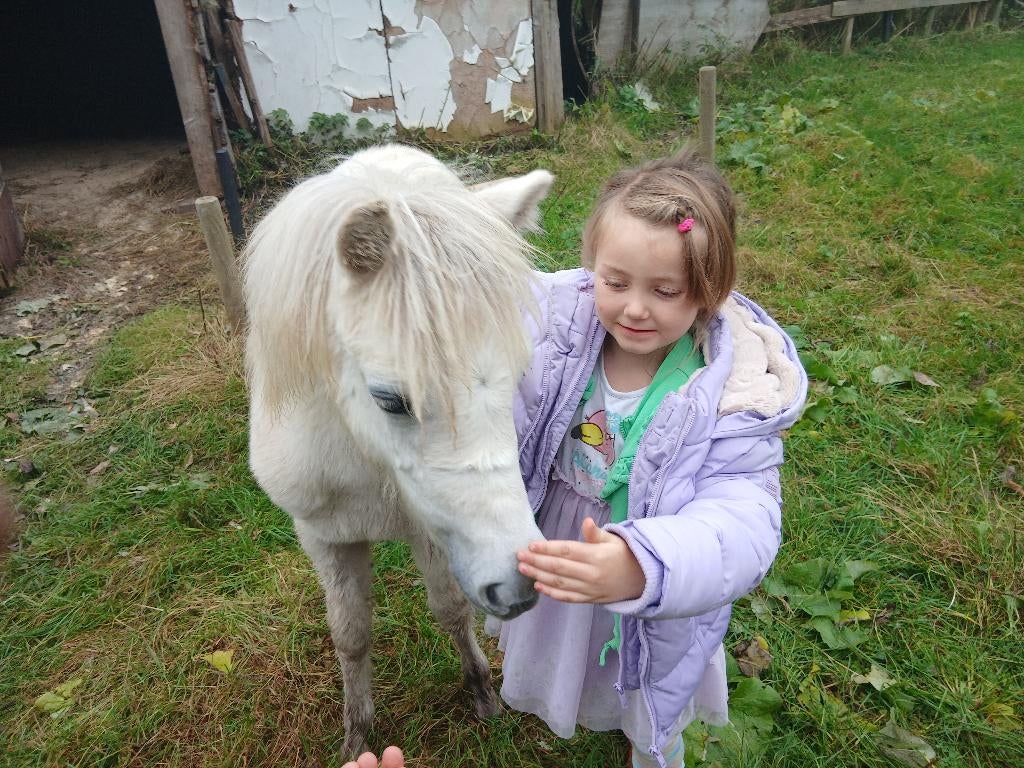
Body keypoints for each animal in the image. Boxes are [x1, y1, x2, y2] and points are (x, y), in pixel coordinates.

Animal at [242, 144, 553, 755]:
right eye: (390, 399)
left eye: (519, 376)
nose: (520, 584)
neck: (360, 459)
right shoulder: (323, 539)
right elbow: (351, 635)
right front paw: (356, 736)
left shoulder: (431, 529)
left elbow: (450, 610)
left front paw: (481, 692)